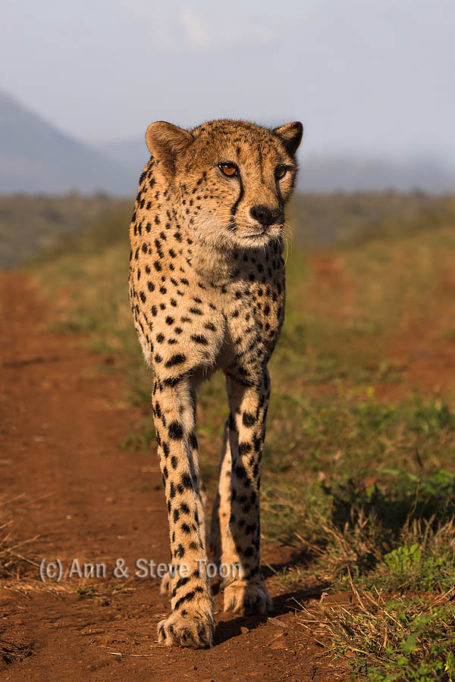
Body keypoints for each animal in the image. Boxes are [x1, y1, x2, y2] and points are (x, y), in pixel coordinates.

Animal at [128, 118, 303, 648]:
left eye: (281, 170)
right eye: (228, 168)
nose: (267, 214)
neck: (219, 259)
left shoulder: (252, 375)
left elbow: (242, 487)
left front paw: (247, 585)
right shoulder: (172, 380)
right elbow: (183, 492)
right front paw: (188, 610)